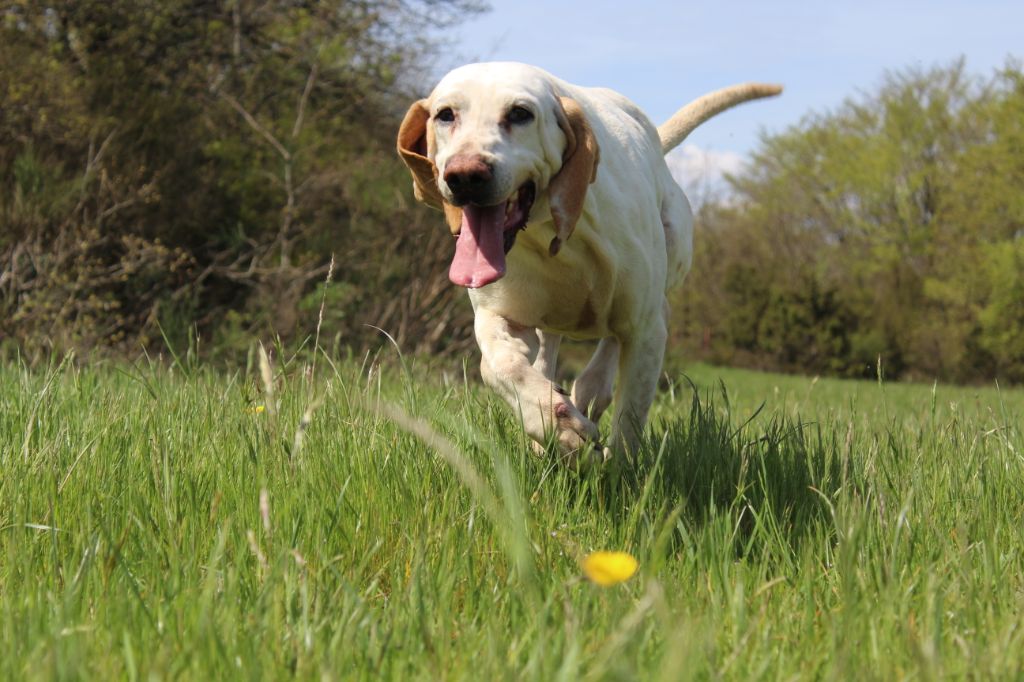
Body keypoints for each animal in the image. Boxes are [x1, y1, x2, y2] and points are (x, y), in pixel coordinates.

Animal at [395, 62, 778, 462]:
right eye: (445, 114)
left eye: (520, 113)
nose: (466, 175)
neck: (551, 236)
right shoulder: (498, 316)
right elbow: (499, 367)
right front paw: (555, 422)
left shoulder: (644, 330)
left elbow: (629, 421)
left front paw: (619, 469)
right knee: (545, 353)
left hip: (666, 264)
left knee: (627, 337)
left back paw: (589, 392)